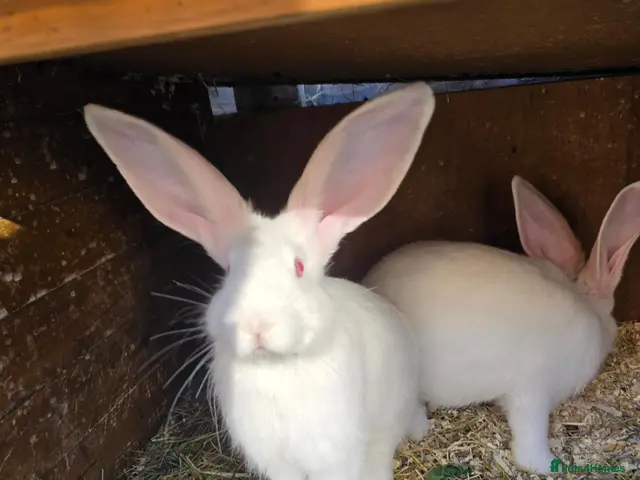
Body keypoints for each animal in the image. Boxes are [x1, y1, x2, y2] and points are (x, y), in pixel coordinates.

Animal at [82, 82, 436, 480]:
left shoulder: (337, 456)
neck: (274, 368)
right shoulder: (275, 463)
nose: (255, 325)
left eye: (299, 266)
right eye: (229, 270)